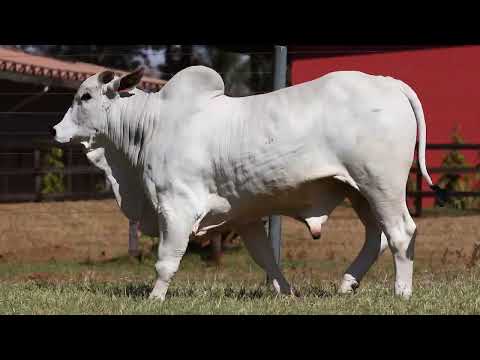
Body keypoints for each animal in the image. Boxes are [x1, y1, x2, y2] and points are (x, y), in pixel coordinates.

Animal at [50, 65, 444, 300]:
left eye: (85, 97)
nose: (55, 130)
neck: (151, 124)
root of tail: (387, 83)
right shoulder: (244, 215)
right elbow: (265, 257)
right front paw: (286, 293)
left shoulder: (176, 206)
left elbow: (166, 260)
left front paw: (154, 298)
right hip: (358, 190)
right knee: (376, 238)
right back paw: (347, 284)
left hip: (380, 184)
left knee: (401, 233)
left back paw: (401, 293)